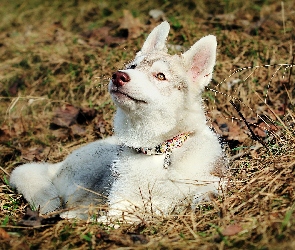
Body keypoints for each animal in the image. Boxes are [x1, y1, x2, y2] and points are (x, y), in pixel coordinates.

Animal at [10, 21, 225, 221]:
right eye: (132, 67)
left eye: (160, 76)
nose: (118, 76)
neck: (158, 150)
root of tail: (57, 165)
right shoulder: (120, 201)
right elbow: (119, 215)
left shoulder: (210, 184)